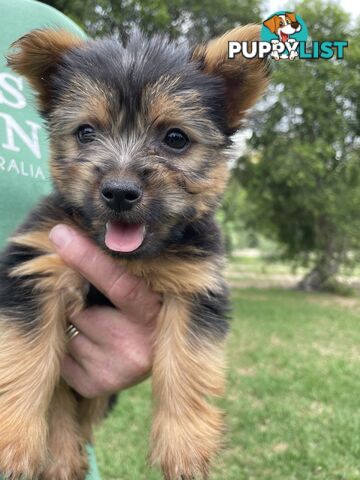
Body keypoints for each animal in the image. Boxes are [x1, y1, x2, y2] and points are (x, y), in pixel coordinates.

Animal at [0, 25, 268, 480]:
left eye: (175, 139)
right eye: (86, 132)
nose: (120, 192)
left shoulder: (194, 284)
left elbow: (186, 361)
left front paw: (184, 444)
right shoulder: (39, 264)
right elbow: (26, 358)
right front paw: (14, 442)